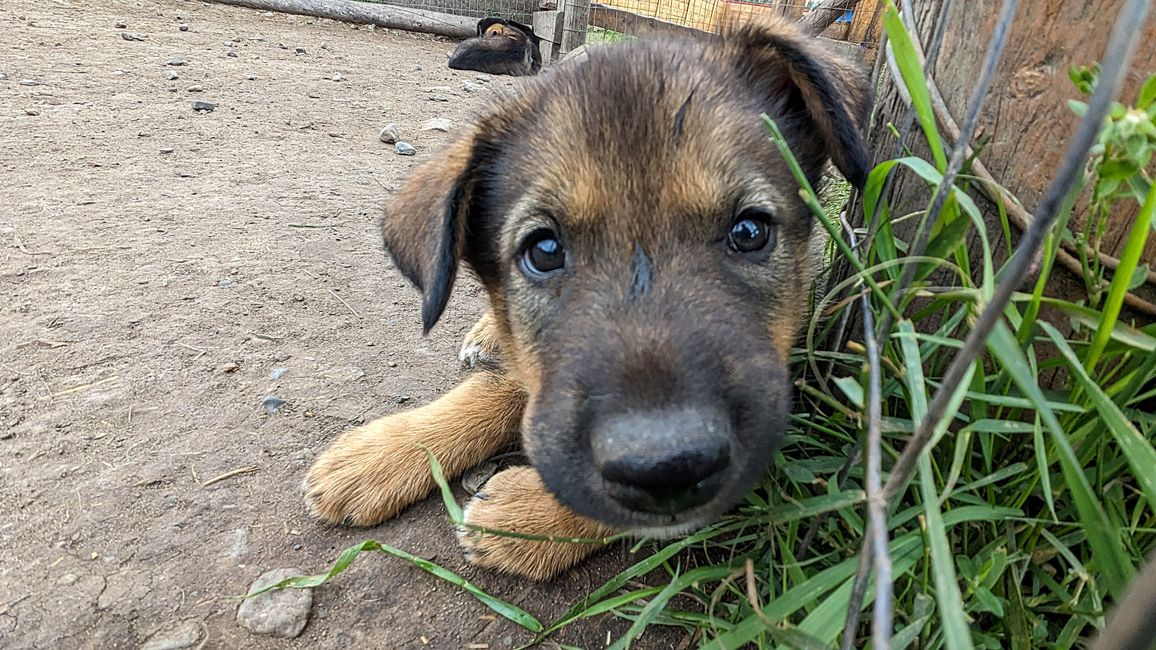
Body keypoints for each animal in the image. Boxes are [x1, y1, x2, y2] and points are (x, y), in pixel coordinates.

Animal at [307, 17, 869, 575]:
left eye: (750, 232)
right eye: (544, 250)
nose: (667, 464)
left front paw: (528, 517)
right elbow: (505, 388)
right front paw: (380, 453)